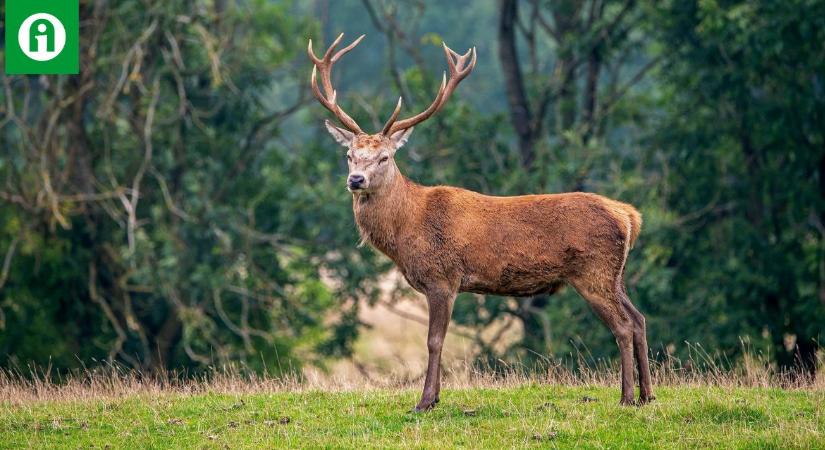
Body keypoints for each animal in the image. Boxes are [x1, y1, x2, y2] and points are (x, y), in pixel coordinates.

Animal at [306, 33, 652, 410]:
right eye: (349, 155)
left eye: (384, 157)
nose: (356, 180)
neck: (406, 231)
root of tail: (629, 216)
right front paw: (434, 397)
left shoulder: (442, 278)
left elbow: (434, 341)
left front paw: (425, 401)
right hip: (614, 275)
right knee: (639, 319)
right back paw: (647, 394)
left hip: (593, 271)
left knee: (622, 326)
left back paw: (627, 397)